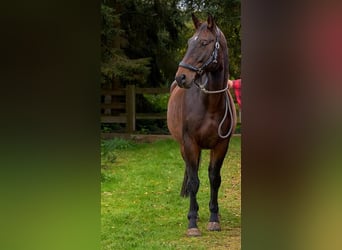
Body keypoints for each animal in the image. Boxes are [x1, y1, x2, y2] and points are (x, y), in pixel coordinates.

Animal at [167, 13, 236, 236]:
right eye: (189, 42)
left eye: (204, 42)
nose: (181, 77)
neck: (210, 105)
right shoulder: (190, 144)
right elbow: (194, 181)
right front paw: (192, 222)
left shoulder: (221, 145)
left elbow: (214, 178)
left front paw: (214, 217)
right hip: (183, 146)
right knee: (191, 174)